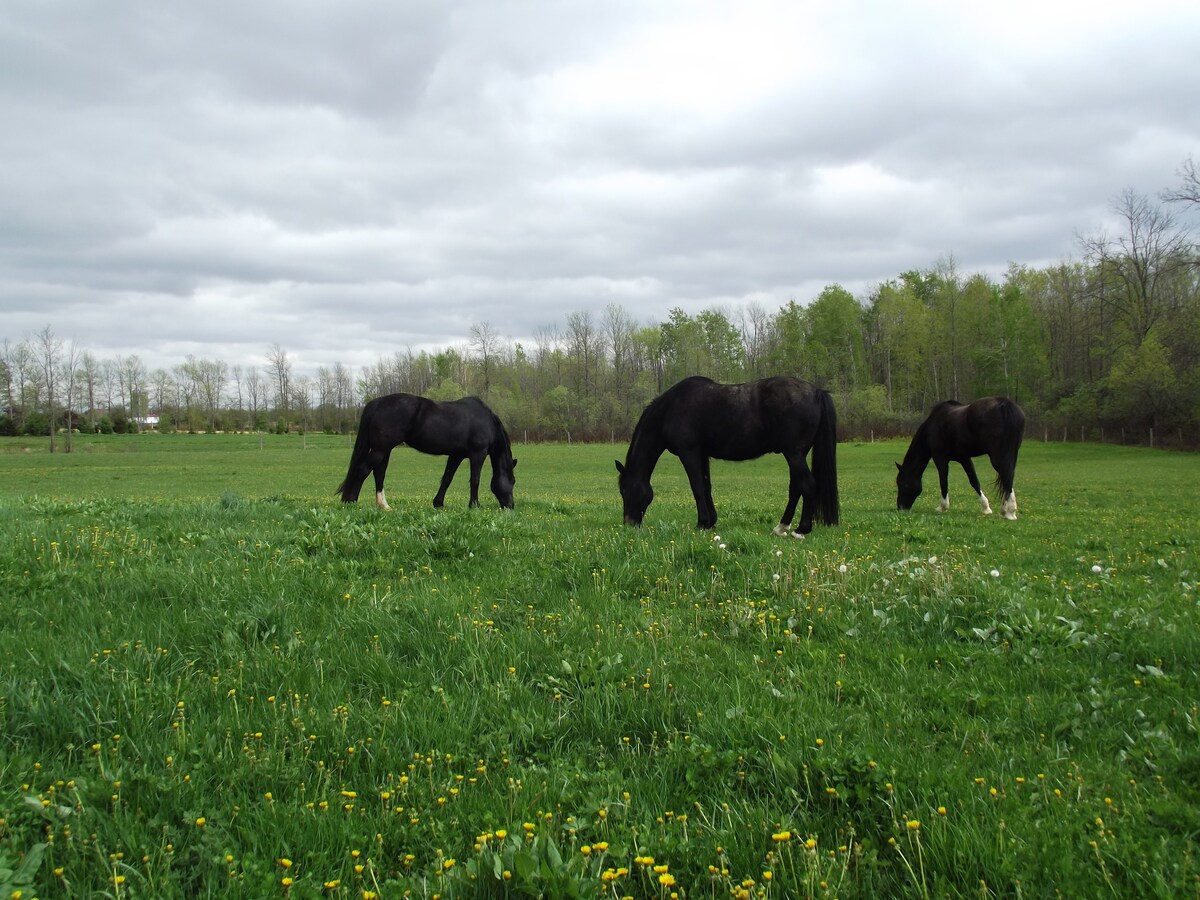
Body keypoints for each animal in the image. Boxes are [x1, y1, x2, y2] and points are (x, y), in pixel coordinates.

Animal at [614, 376, 840, 540]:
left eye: (624, 490)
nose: (629, 523)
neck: (671, 409)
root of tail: (817, 392)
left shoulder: (689, 452)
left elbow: (696, 487)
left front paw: (701, 523)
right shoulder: (702, 454)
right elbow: (706, 487)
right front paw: (711, 521)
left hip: (793, 454)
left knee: (807, 485)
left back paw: (801, 530)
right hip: (797, 454)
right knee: (796, 488)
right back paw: (781, 527)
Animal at [897, 396, 1027, 520]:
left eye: (902, 483)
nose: (900, 508)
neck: (932, 426)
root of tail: (1005, 405)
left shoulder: (940, 457)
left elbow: (943, 481)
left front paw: (942, 507)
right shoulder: (964, 458)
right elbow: (974, 481)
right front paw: (986, 508)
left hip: (998, 457)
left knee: (1006, 477)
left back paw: (1009, 512)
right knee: (1007, 478)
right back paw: (1006, 510)